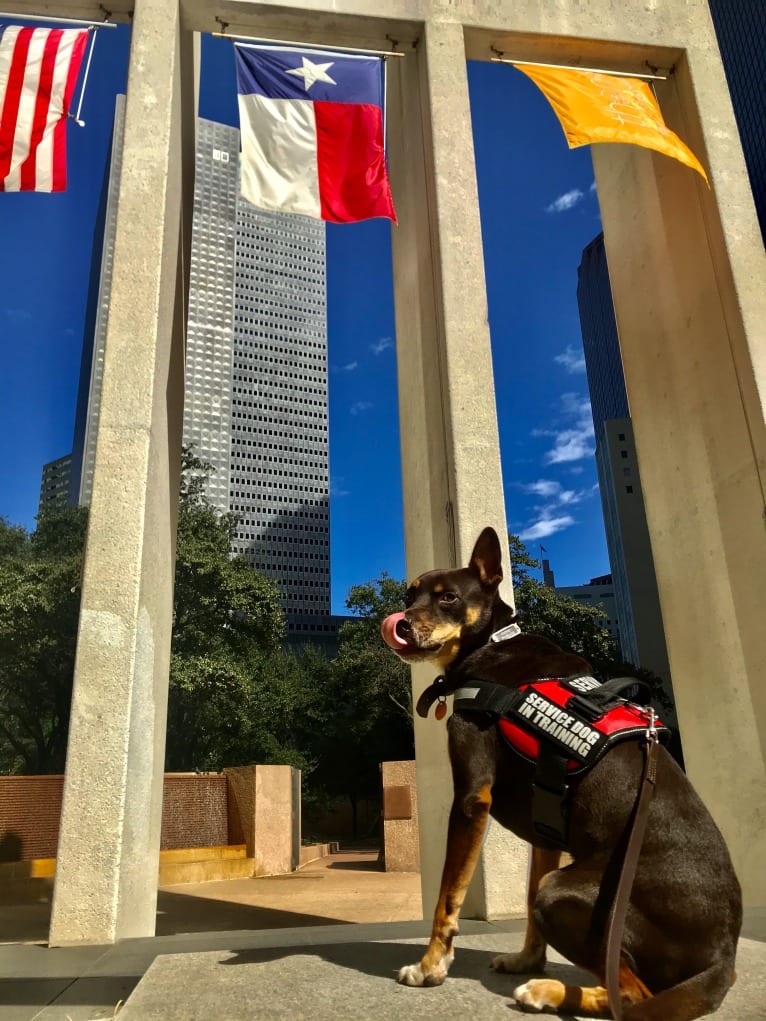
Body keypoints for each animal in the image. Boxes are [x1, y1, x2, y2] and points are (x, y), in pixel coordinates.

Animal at [384, 530, 743, 1016]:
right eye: (410, 595)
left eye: (448, 598)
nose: (400, 623)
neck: (491, 643)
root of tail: (724, 956)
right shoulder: (545, 829)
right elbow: (527, 911)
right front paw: (525, 960)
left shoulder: (472, 797)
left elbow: (446, 899)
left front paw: (429, 967)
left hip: (566, 893)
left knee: (631, 995)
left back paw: (549, 992)